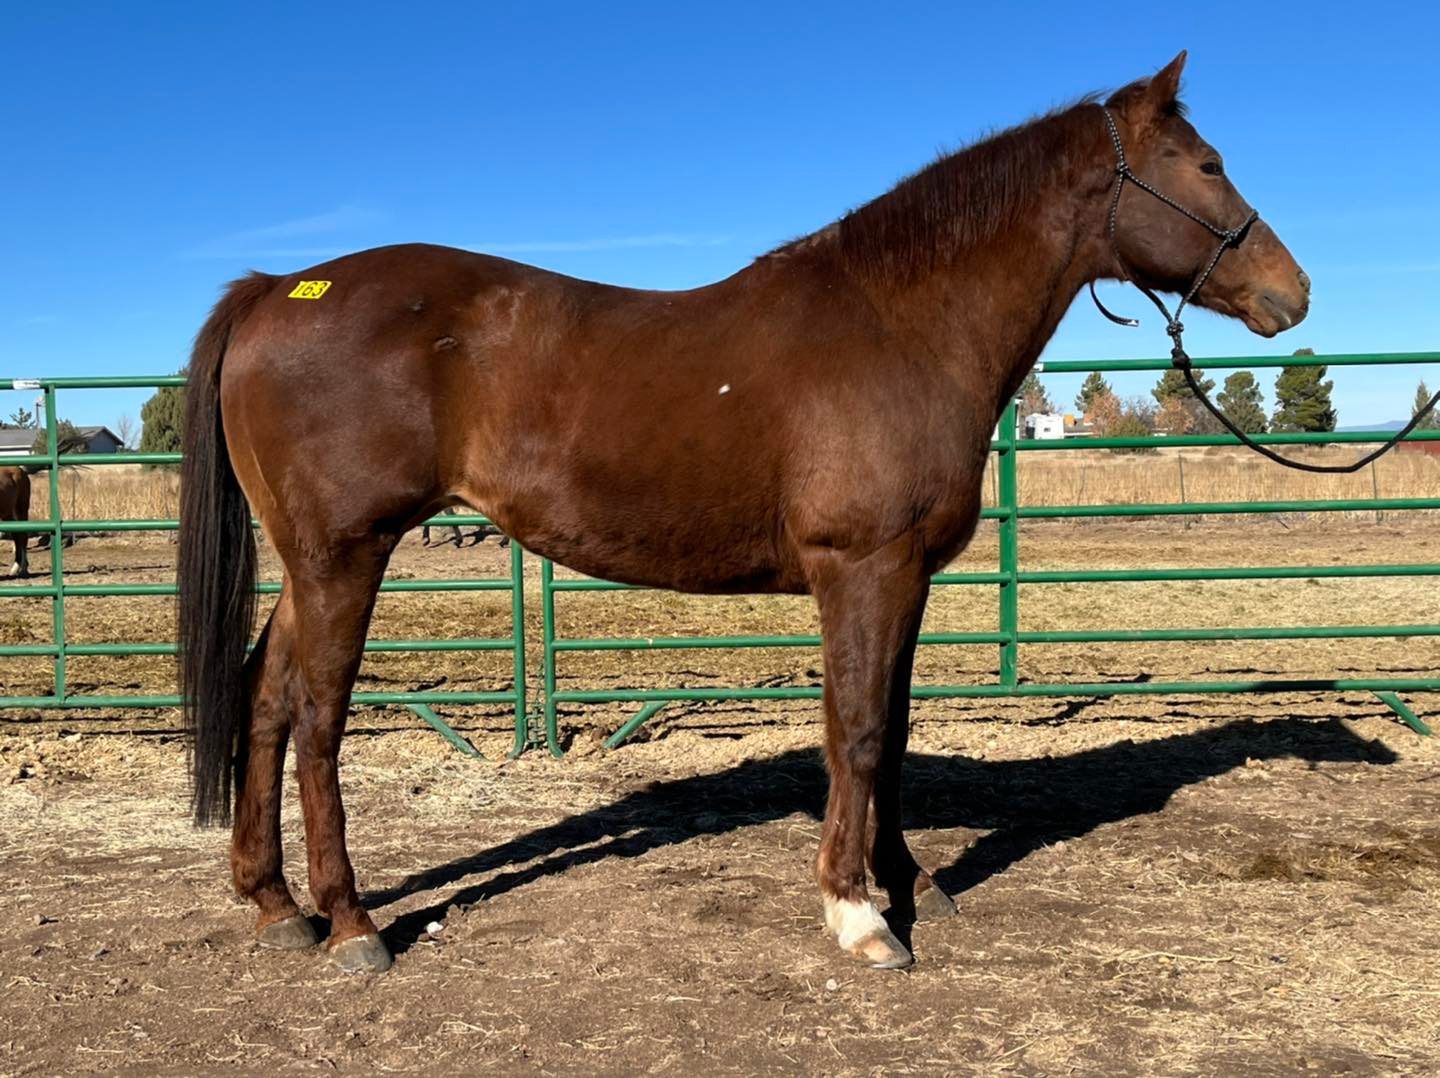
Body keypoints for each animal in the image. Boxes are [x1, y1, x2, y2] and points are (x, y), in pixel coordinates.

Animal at [177, 52, 1309, 973]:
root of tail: (279, 285)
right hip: (345, 555)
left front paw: (909, 881)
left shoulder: (905, 578)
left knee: (266, 698)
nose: (1291, 293)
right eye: (1207, 164)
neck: (902, 323)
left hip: (310, 561)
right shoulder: (860, 568)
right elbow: (856, 730)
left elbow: (892, 729)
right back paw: (353, 925)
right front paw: (859, 914)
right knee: (317, 716)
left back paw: (275, 906)